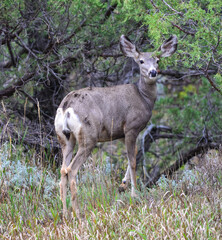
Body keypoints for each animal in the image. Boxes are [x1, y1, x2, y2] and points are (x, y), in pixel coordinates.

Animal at [54, 34, 178, 216]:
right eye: (141, 61)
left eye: (157, 60)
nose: (153, 72)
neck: (143, 98)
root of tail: (66, 107)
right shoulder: (131, 127)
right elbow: (133, 160)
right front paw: (134, 194)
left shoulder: (122, 132)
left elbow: (133, 154)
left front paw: (123, 184)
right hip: (88, 137)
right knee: (71, 169)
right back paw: (77, 212)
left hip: (65, 138)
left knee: (63, 170)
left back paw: (65, 212)